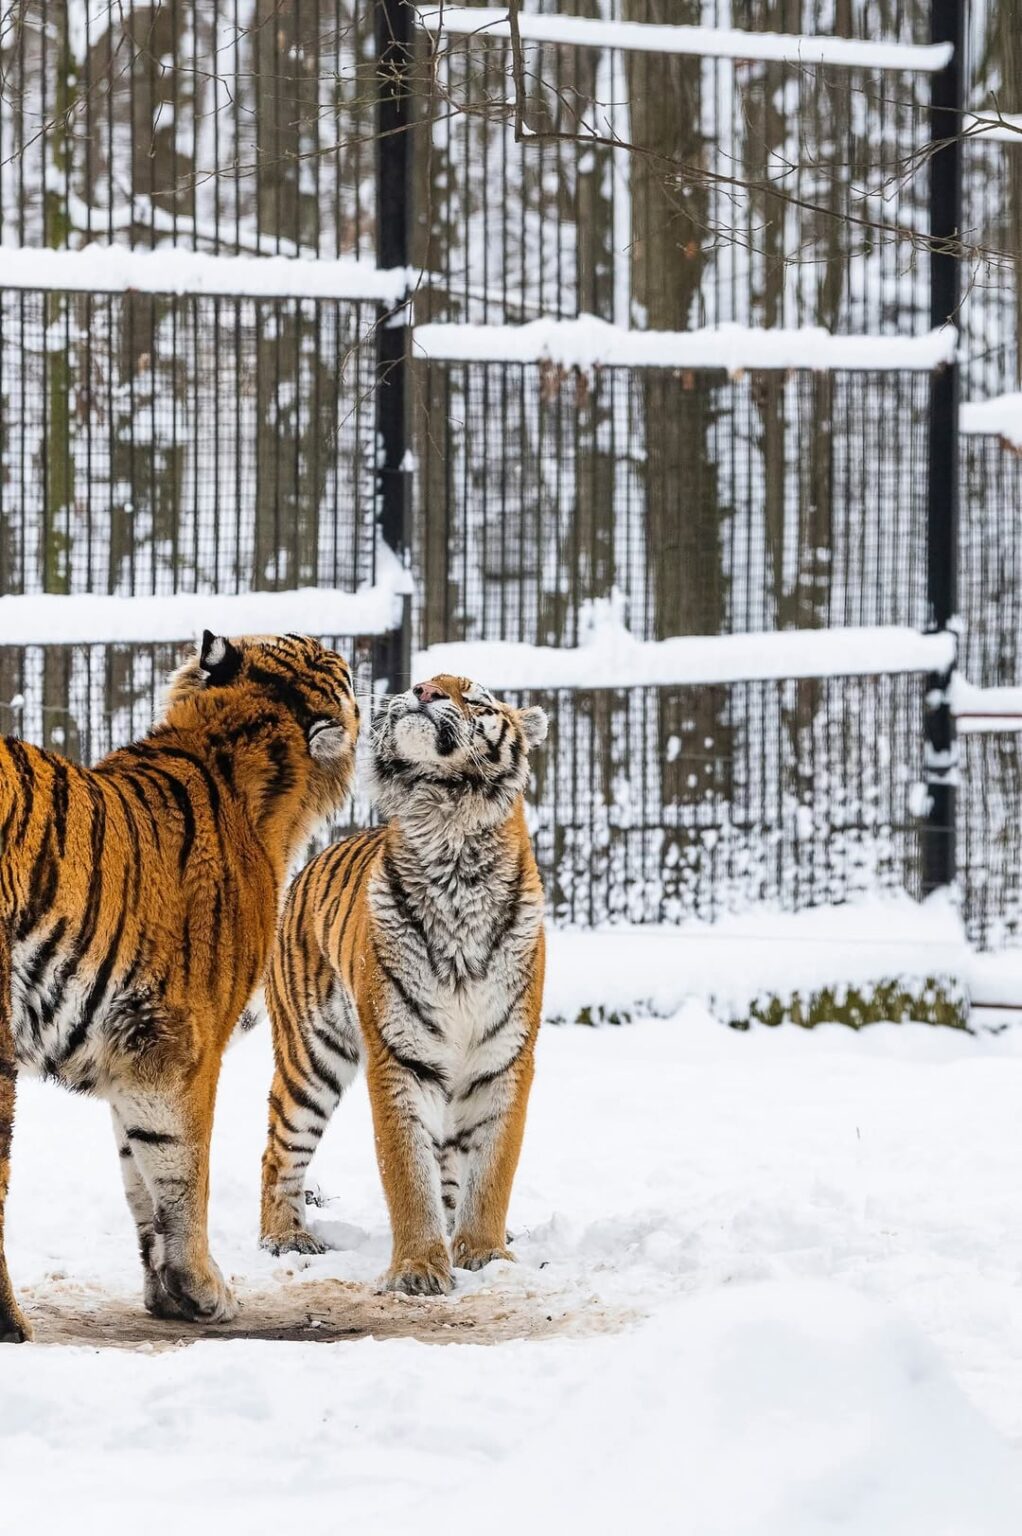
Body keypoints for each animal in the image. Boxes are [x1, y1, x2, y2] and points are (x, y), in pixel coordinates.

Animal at [0, 630, 358, 1342]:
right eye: (345, 675)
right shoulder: (180, 1045)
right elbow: (183, 1175)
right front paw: (203, 1290)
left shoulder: (131, 1058)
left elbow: (138, 1176)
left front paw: (168, 1294)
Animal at [259, 673, 548, 1296]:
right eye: (432, 683)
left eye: (476, 698)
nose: (422, 689)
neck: (451, 836)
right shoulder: (399, 1055)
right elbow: (406, 1173)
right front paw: (418, 1268)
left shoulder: (504, 1056)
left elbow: (492, 1169)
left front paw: (484, 1254)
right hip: (310, 1056)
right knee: (278, 1149)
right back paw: (285, 1237)